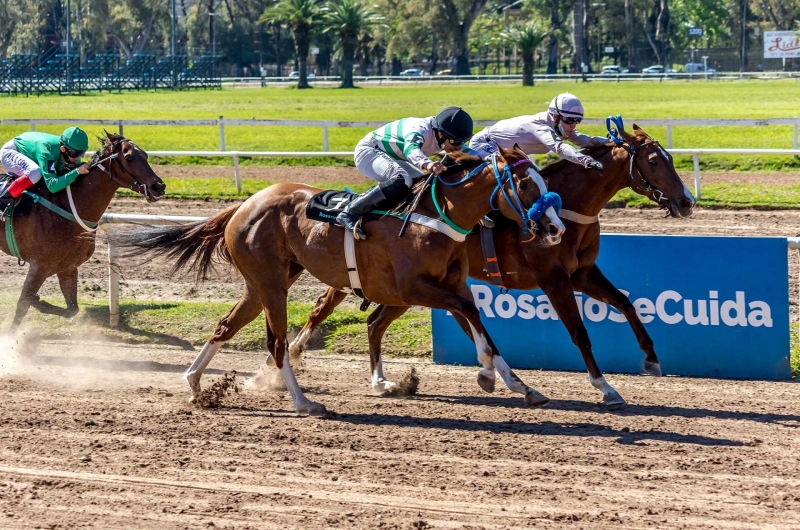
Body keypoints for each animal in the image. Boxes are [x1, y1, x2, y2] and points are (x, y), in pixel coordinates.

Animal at [0, 132, 166, 330]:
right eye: (129, 158)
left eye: (146, 156)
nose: (159, 186)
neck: (67, 209)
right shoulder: (39, 265)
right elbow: (22, 305)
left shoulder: (68, 267)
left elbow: (72, 309)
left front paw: (38, 301)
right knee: (33, 172)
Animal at [117, 146, 564, 414]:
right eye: (526, 183)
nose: (555, 228)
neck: (440, 215)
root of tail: (243, 205)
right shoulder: (413, 288)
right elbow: (471, 313)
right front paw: (487, 374)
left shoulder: (449, 286)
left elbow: (477, 322)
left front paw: (519, 385)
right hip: (272, 285)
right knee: (277, 343)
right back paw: (303, 402)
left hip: (260, 284)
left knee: (225, 327)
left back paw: (194, 383)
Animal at [290, 124, 696, 404]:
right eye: (655, 161)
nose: (687, 201)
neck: (568, 205)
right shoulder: (553, 277)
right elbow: (579, 331)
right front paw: (606, 387)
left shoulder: (582, 273)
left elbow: (626, 303)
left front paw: (651, 358)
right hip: (378, 281)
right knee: (324, 307)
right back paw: (296, 353)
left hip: (406, 289)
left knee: (377, 322)